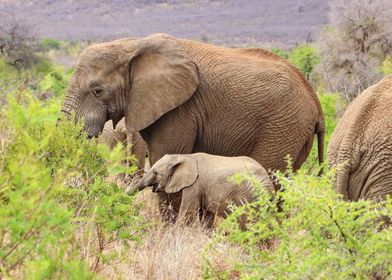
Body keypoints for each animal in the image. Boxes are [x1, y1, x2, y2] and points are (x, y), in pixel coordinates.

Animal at [61, 34, 324, 219]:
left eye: (97, 91)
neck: (132, 44)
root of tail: (315, 101)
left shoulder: (180, 109)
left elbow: (165, 156)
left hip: (283, 127)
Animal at [130, 153, 274, 228]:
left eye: (155, 172)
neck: (183, 157)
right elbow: (207, 216)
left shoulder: (194, 184)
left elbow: (187, 213)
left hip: (248, 194)